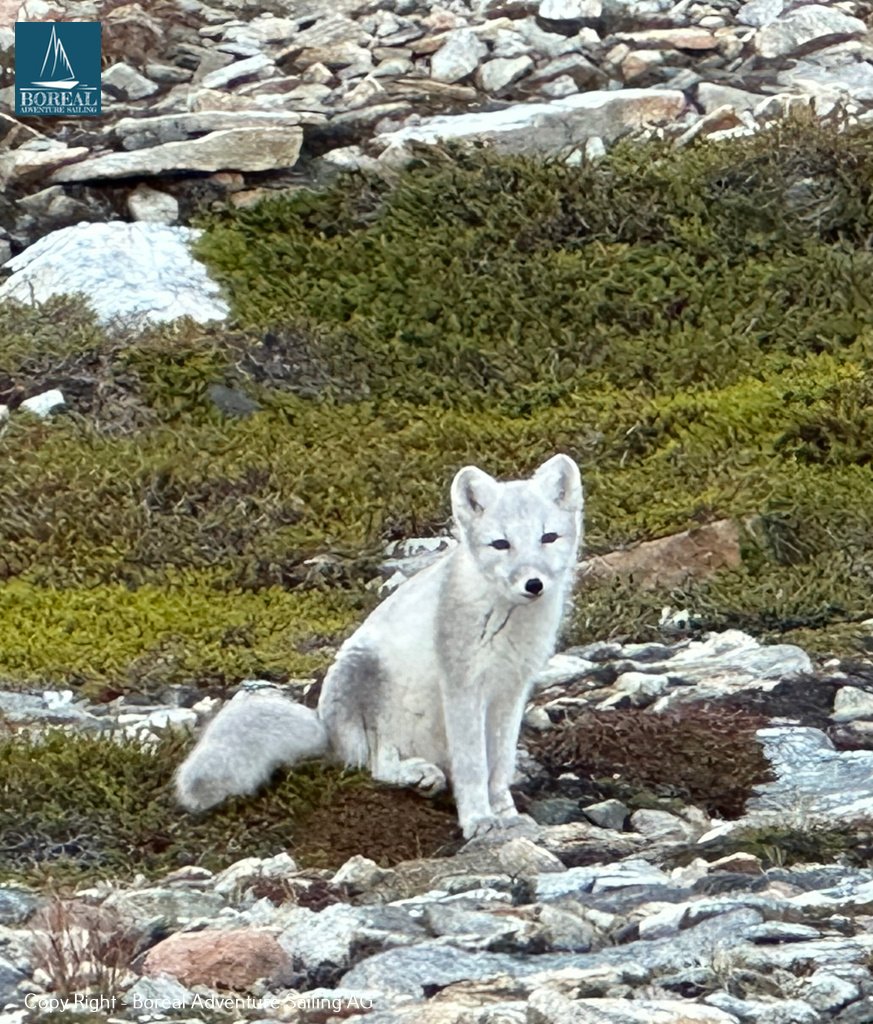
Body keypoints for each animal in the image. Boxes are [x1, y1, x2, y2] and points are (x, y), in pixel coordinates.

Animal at [175, 454, 583, 839]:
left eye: (548, 537)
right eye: (501, 544)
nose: (534, 584)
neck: (509, 621)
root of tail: (327, 732)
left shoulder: (511, 691)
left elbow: (498, 765)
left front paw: (506, 814)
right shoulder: (462, 686)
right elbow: (473, 766)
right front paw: (478, 820)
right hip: (367, 677)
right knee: (375, 763)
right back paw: (415, 774)